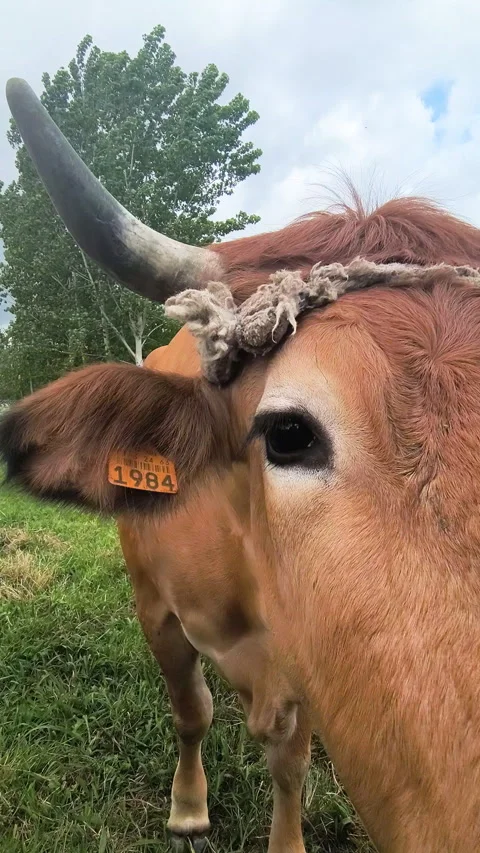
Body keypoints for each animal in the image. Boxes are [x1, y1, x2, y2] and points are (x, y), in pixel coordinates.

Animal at [4, 78, 480, 853]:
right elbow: (190, 710)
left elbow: (290, 760)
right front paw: (188, 808)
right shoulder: (156, 608)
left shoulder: (306, 661)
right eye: (287, 434)